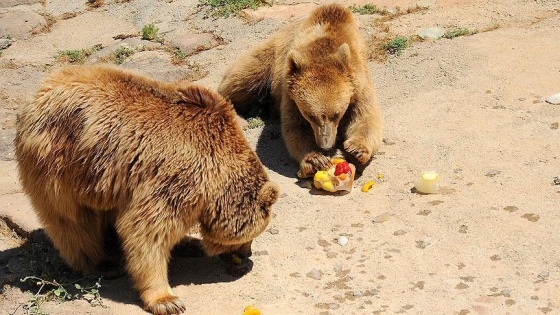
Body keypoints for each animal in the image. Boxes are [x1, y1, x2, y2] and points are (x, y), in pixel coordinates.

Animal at [15, 65, 280, 315]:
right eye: (252, 235)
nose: (247, 254)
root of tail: (35, 98)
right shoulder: (177, 176)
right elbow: (147, 231)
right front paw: (168, 300)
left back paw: (187, 245)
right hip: (61, 162)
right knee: (73, 221)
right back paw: (102, 264)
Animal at [217, 3, 382, 179]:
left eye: (337, 114)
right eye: (310, 115)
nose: (325, 145)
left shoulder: (359, 85)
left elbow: (366, 117)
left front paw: (356, 149)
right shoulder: (290, 93)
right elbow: (294, 127)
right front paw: (315, 159)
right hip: (268, 58)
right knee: (242, 78)